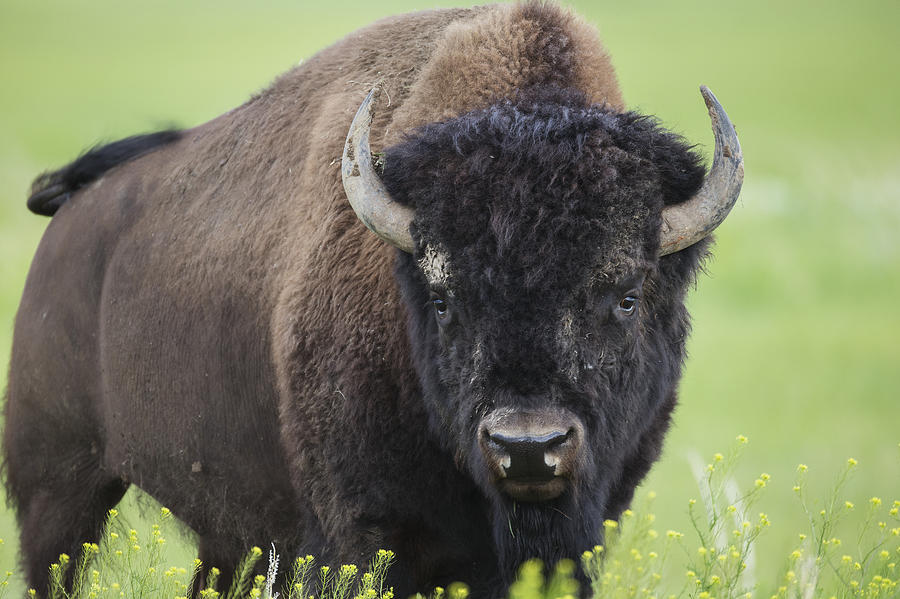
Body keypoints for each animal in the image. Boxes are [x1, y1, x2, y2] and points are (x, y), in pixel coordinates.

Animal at [3, 2, 740, 596]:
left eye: (626, 296)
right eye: (442, 299)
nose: (528, 446)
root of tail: (71, 216)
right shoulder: (358, 537)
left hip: (222, 529)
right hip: (57, 488)